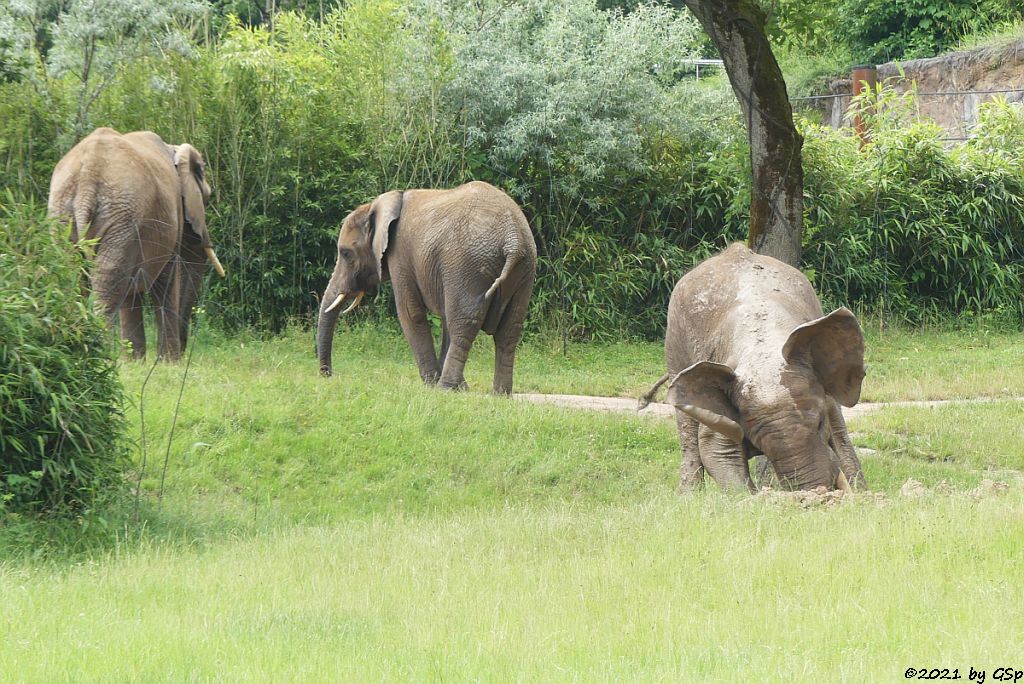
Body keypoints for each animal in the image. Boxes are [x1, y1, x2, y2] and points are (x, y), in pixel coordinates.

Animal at [48, 129, 224, 362]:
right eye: (207, 198)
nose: (183, 352)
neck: (174, 149)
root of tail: (87, 176)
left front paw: (136, 361)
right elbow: (166, 278)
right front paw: (169, 363)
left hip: (67, 215)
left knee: (75, 274)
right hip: (123, 215)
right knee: (109, 276)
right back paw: (100, 355)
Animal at [317, 181, 536, 395]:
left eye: (346, 253)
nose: (327, 374)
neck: (377, 206)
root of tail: (512, 240)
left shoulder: (400, 254)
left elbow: (410, 312)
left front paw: (432, 384)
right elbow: (445, 318)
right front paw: (460, 388)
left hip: (467, 264)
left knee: (464, 323)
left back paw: (445, 388)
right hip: (523, 269)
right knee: (510, 328)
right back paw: (501, 393)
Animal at [643, 242, 868, 493]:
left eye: (820, 424)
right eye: (758, 439)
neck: (764, 348)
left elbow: (840, 435)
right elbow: (715, 448)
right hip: (674, 342)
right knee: (688, 430)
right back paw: (689, 495)